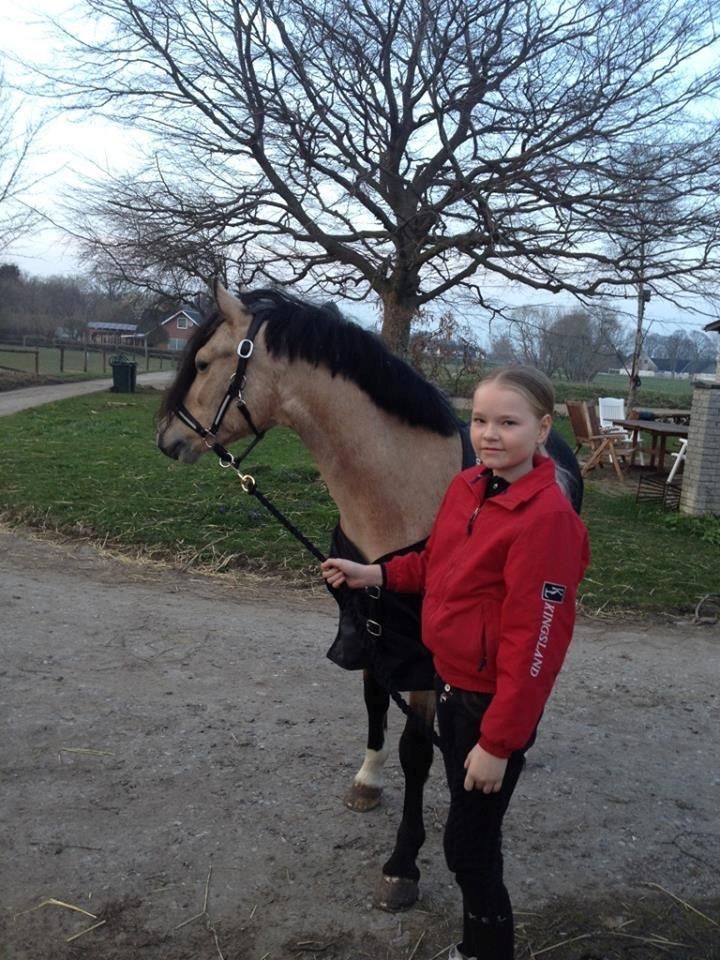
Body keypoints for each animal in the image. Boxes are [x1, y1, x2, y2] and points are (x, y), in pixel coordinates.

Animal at [156, 282, 580, 912]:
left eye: (204, 362)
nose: (168, 440)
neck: (398, 494)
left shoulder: (428, 657)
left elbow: (418, 750)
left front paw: (403, 864)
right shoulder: (368, 622)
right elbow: (375, 704)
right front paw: (367, 780)